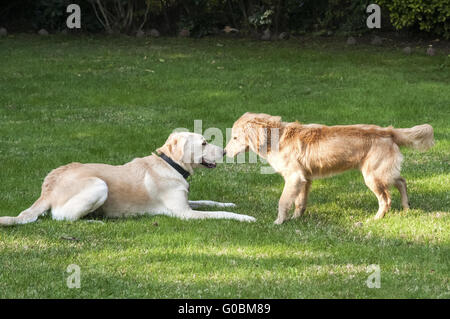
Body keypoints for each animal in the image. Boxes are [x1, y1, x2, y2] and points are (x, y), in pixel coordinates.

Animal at [0, 131, 255, 226]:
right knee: (62, 217)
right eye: (203, 143)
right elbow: (218, 214)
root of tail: (48, 188)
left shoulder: (187, 202)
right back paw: (96, 221)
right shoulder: (184, 213)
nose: (224, 152)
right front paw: (244, 216)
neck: (170, 164)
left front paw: (229, 203)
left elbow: (210, 202)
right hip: (99, 185)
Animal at [227, 113, 434, 225]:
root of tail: (388, 131)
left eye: (235, 137)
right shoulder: (305, 179)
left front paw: (279, 222)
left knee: (386, 199)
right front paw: (296, 218)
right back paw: (406, 207)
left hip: (372, 176)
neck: (276, 138)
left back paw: (376, 219)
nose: (224, 152)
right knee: (401, 181)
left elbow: (283, 201)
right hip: (382, 173)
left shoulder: (294, 177)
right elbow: (299, 202)